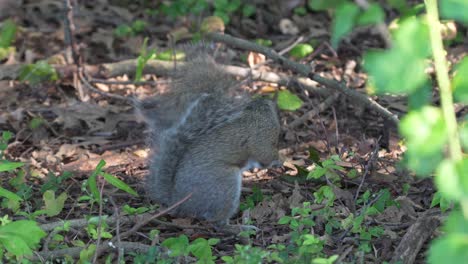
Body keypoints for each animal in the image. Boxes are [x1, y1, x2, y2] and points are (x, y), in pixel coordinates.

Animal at [142, 49, 282, 231]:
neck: (256, 112)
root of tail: (179, 201)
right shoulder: (262, 137)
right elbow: (265, 155)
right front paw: (280, 160)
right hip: (224, 184)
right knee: (217, 222)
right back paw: (239, 228)